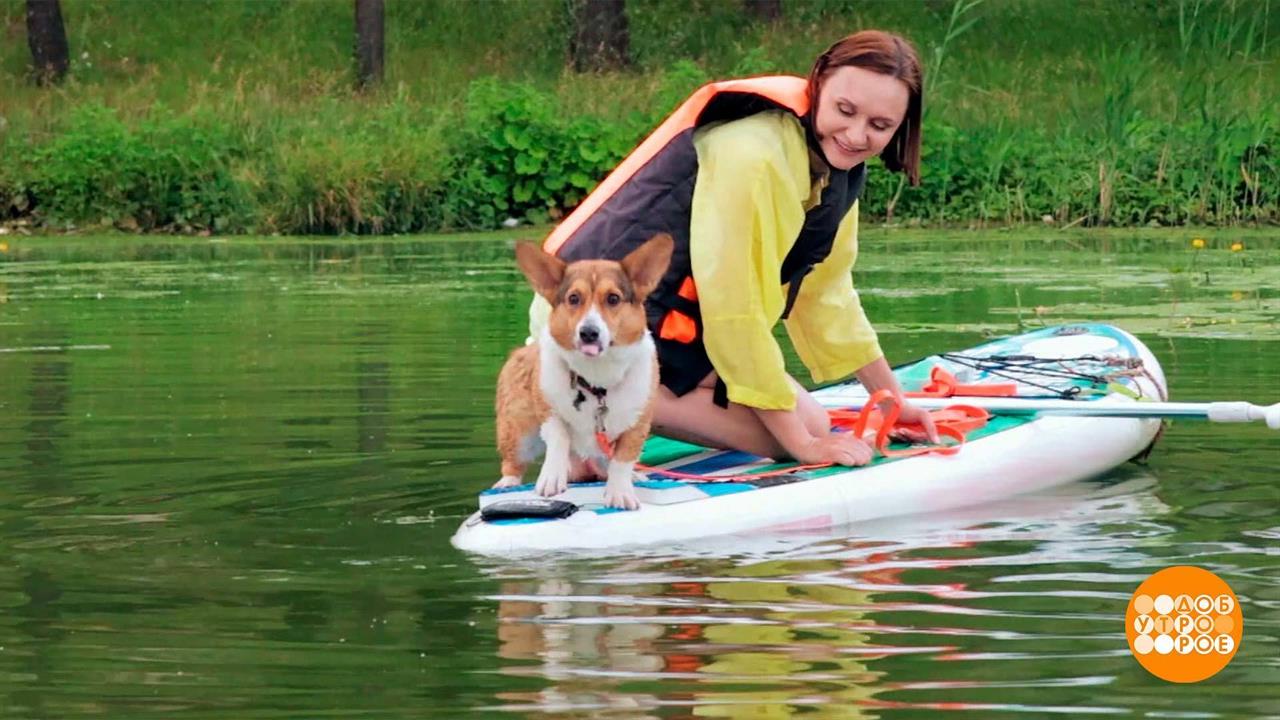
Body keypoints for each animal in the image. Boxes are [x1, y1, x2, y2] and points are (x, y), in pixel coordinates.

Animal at [491, 233, 680, 507]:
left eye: (613, 298)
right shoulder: (548, 410)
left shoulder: (638, 423)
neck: (597, 378)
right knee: (513, 463)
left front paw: (620, 492)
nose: (588, 332)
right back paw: (507, 483)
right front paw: (552, 477)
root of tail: (521, 351)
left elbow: (622, 459)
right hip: (518, 432)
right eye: (573, 298)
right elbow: (559, 437)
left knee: (605, 461)